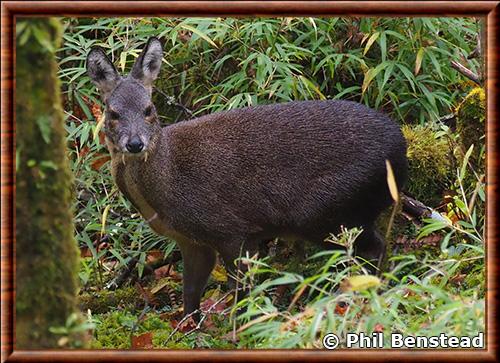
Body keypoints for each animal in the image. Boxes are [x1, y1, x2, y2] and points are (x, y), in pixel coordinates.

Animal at [85, 36, 406, 316]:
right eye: (113, 113)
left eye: (149, 109)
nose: (135, 143)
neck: (166, 184)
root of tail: (400, 151)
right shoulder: (191, 241)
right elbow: (190, 296)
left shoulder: (231, 229)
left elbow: (243, 293)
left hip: (326, 211)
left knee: (373, 248)